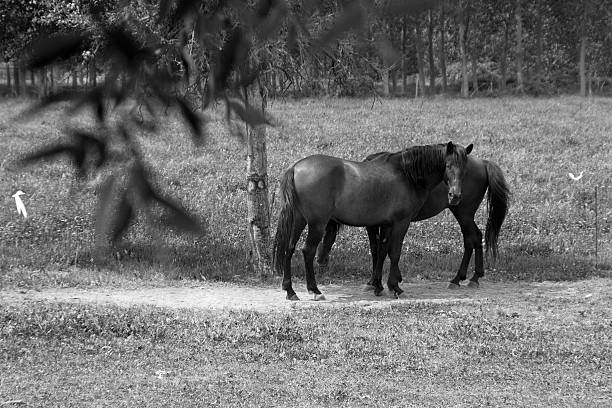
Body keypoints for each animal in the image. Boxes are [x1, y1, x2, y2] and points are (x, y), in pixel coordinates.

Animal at [272, 142, 474, 302]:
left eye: (464, 169)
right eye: (448, 165)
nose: (455, 196)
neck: (406, 174)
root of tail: (296, 167)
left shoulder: (386, 225)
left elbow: (382, 252)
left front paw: (378, 285)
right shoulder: (401, 223)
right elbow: (394, 253)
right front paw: (395, 287)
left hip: (298, 220)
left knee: (289, 248)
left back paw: (290, 290)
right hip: (317, 224)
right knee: (307, 251)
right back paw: (314, 290)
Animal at [314, 150, 510, 294]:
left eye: (324, 233)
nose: (320, 261)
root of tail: (483, 162)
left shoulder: (377, 224)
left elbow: (379, 251)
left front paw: (378, 282)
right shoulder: (384, 224)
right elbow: (382, 250)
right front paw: (380, 281)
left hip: (464, 212)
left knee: (473, 238)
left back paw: (467, 278)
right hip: (461, 212)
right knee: (472, 238)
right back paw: (466, 277)